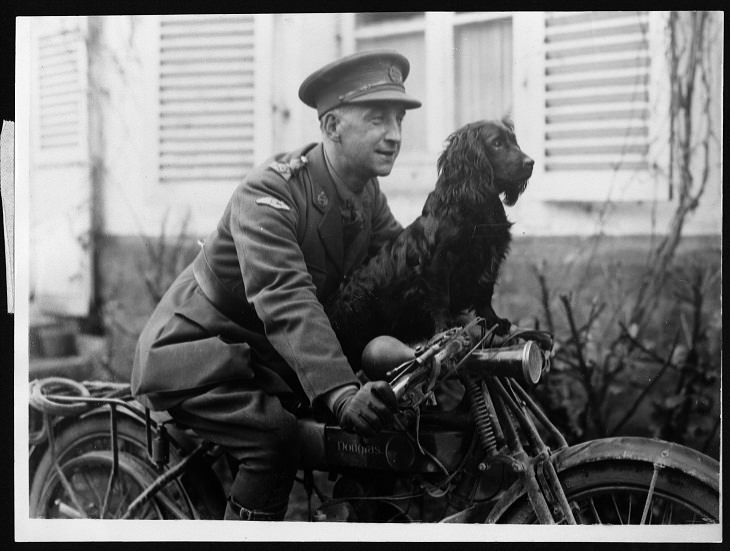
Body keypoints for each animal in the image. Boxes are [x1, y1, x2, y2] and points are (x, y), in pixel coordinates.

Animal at [328, 118, 532, 368]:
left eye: (514, 141)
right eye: (497, 143)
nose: (531, 163)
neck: (476, 206)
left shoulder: (490, 257)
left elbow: (485, 294)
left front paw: (495, 320)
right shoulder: (438, 263)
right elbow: (441, 300)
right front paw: (446, 332)